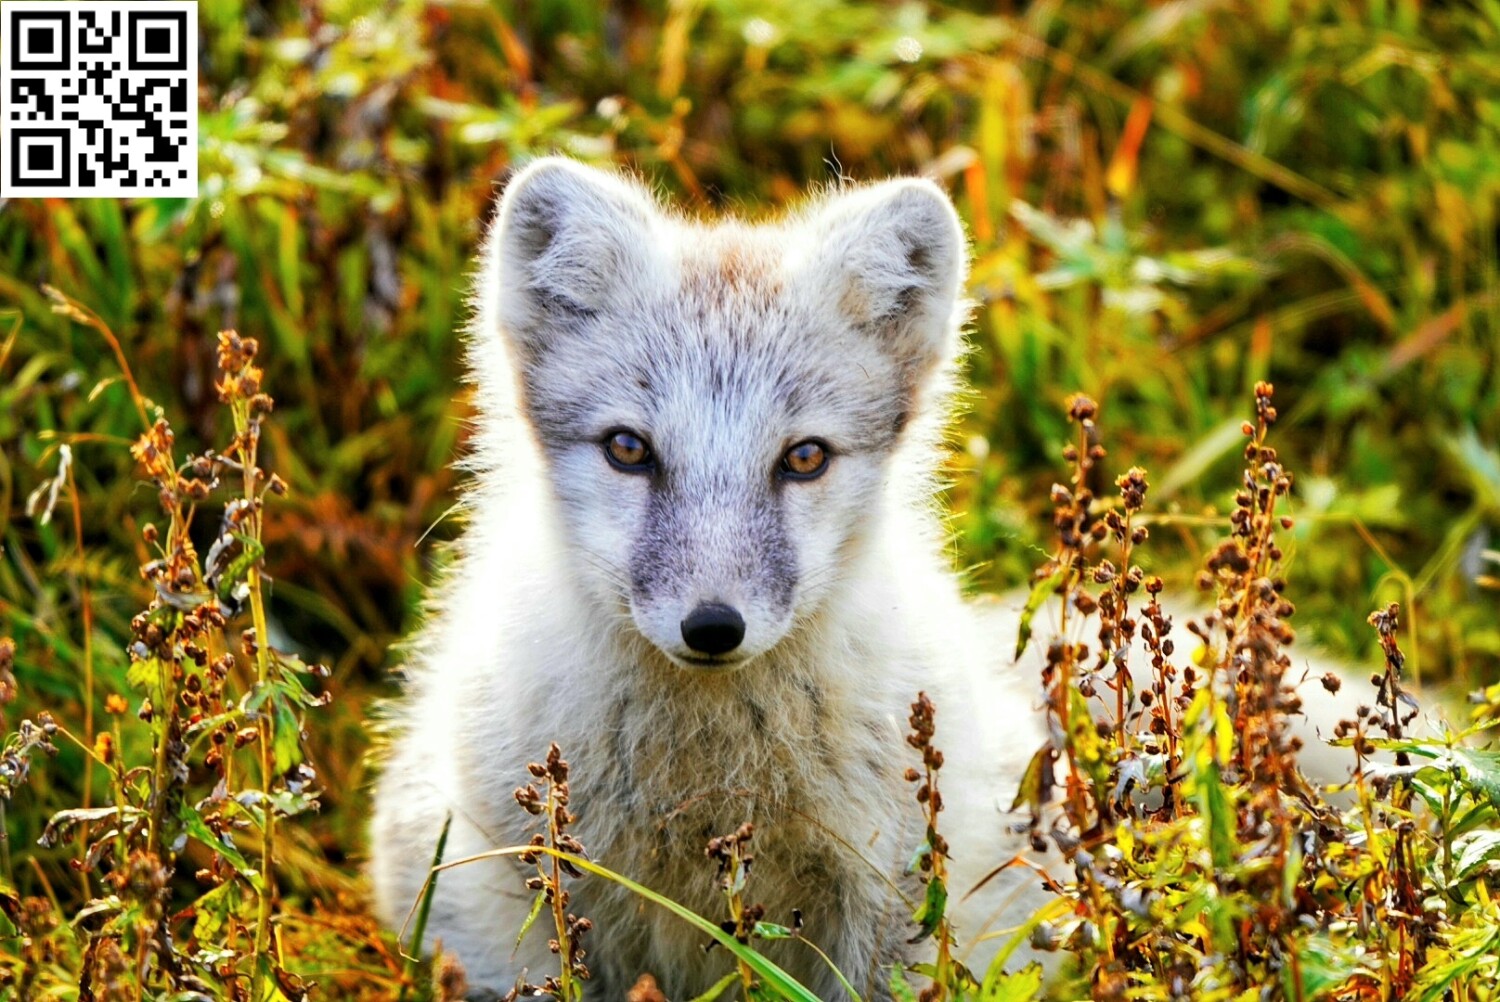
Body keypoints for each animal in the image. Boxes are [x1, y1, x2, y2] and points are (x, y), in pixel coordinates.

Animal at [368, 157, 1371, 999]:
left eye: (805, 458)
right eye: (628, 449)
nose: (713, 627)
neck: (710, 788)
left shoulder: (889, 896)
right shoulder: (530, 889)